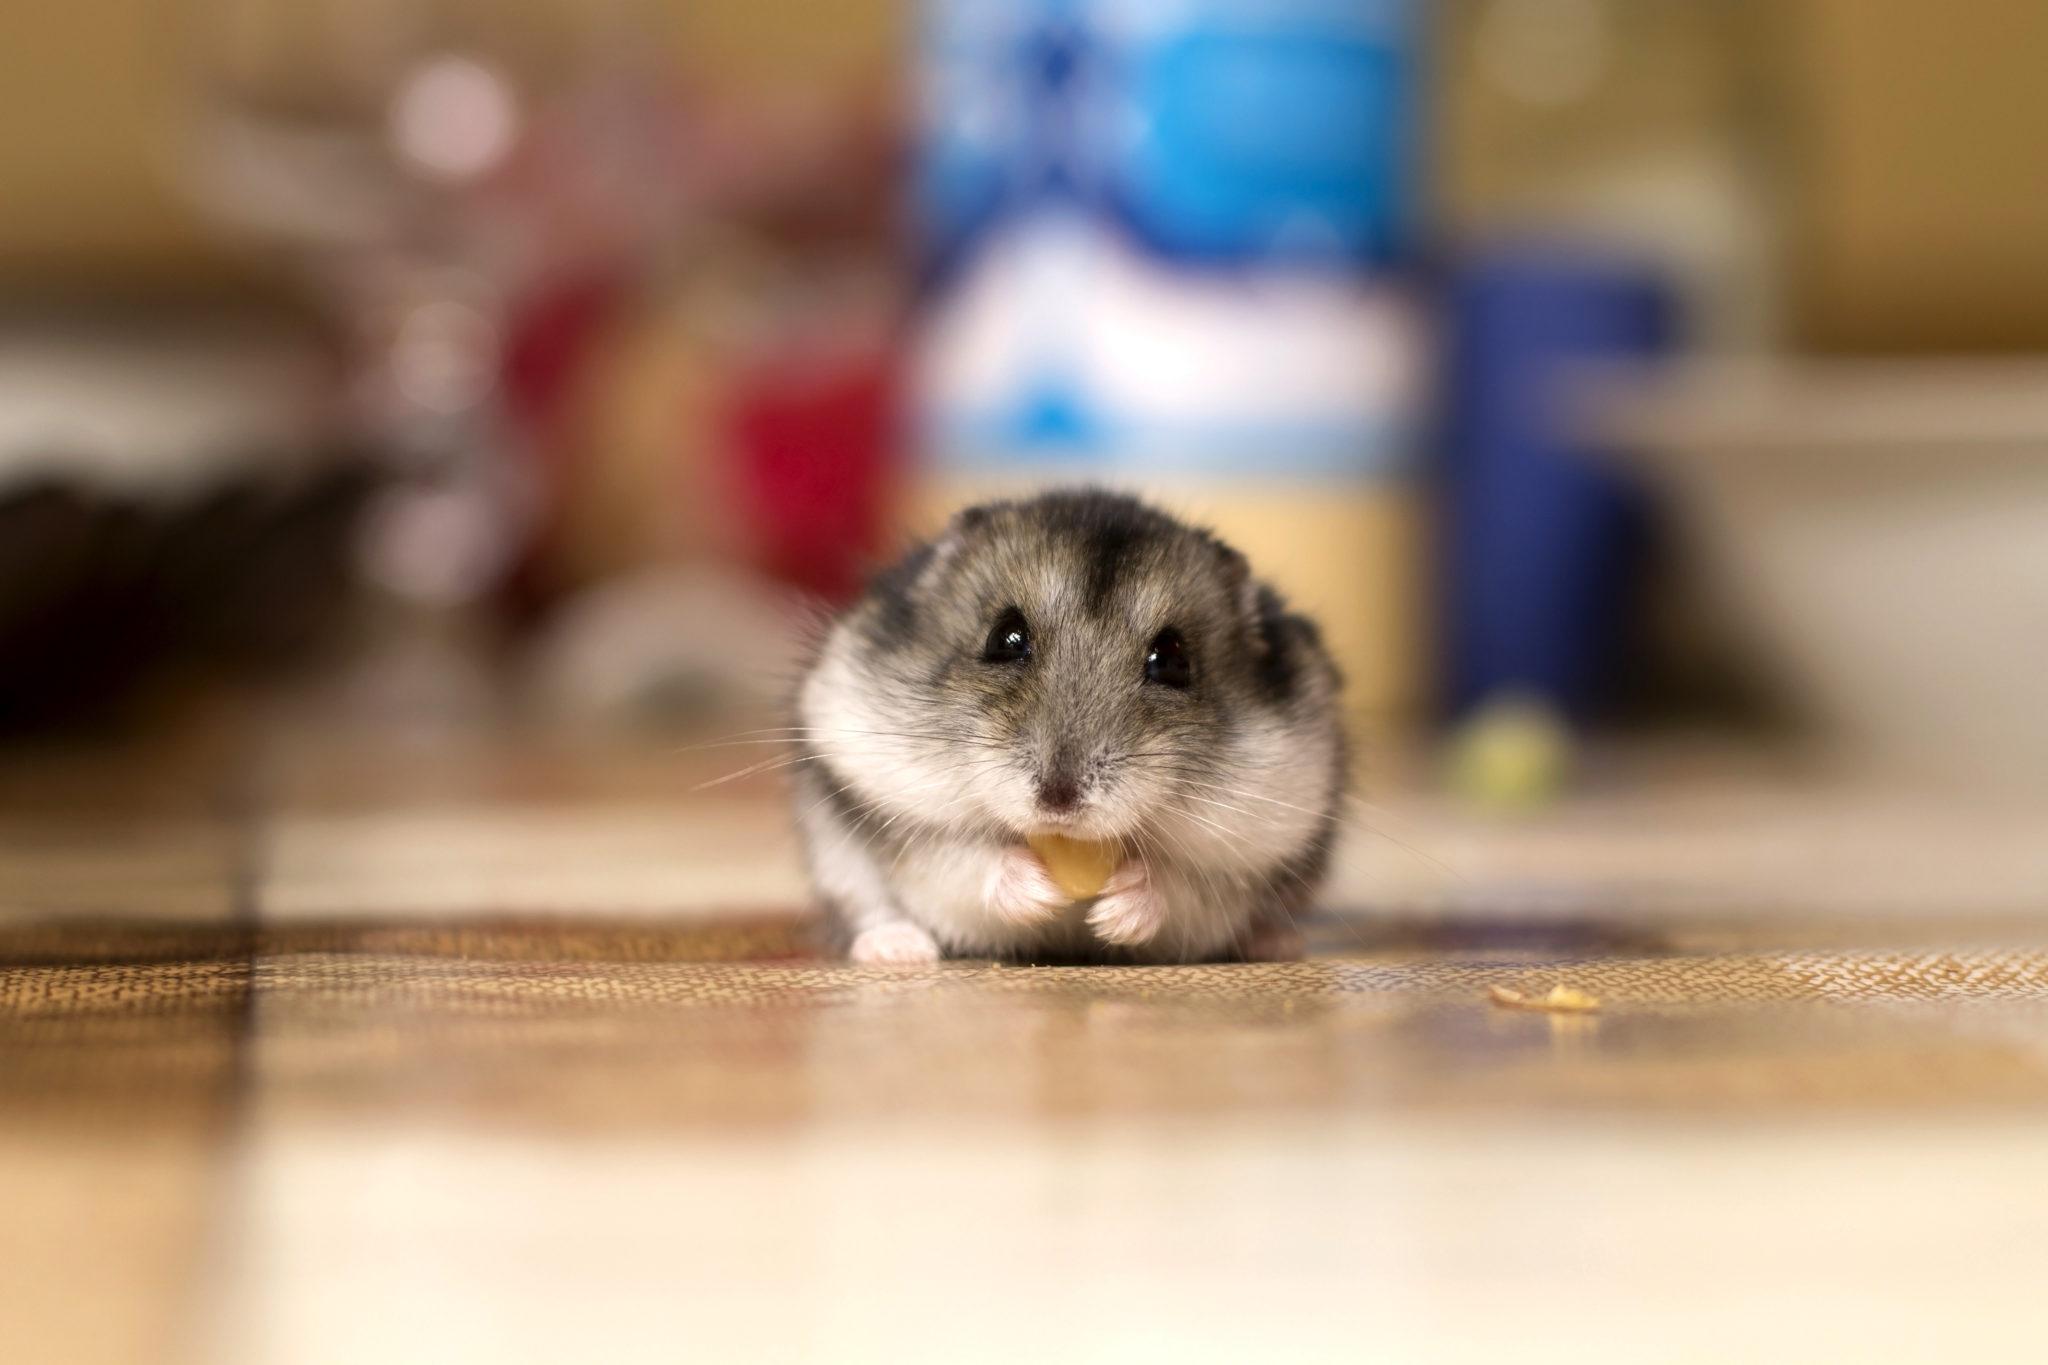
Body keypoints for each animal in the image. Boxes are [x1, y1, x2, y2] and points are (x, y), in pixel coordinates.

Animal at [792, 489, 1346, 964]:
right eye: (1005, 637)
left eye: (1173, 660)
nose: (1058, 801)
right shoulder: (903, 819)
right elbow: (962, 862)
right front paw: (1042, 893)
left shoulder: (1243, 859)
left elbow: (1181, 890)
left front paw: (1114, 912)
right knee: (871, 910)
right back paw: (898, 951)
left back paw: (1277, 943)